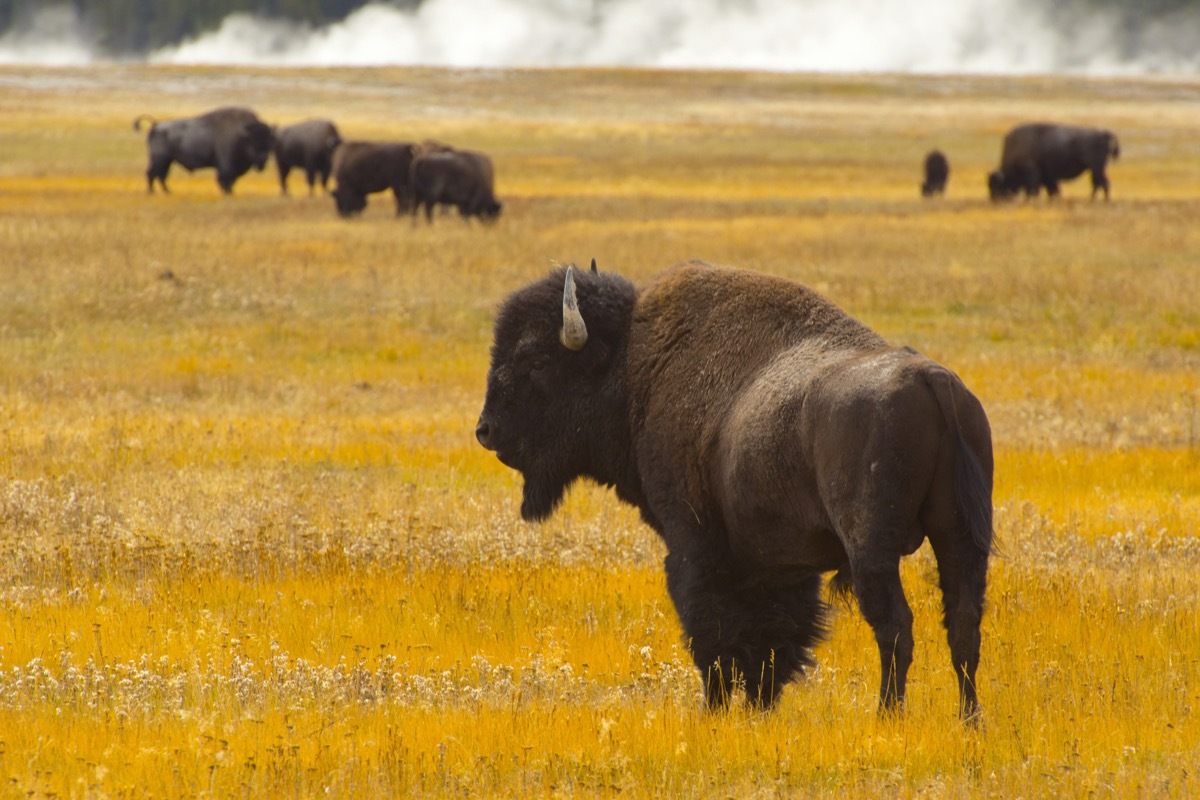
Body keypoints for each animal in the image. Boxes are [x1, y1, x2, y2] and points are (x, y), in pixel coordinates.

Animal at [133, 106, 274, 195]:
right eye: (253, 141)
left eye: (268, 141)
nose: (262, 158)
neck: (242, 135)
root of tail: (156, 125)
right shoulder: (226, 165)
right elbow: (225, 179)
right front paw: (227, 193)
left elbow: (230, 181)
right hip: (160, 160)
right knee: (153, 174)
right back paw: (152, 192)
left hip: (167, 161)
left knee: (161, 175)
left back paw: (167, 192)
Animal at [477, 261, 993, 719]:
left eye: (537, 360)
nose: (486, 431)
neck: (631, 367)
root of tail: (933, 381)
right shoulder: (777, 565)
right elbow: (772, 640)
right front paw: (760, 705)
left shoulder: (694, 547)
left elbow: (712, 635)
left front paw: (716, 709)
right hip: (961, 538)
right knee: (963, 627)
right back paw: (969, 719)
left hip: (872, 549)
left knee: (895, 626)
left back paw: (888, 715)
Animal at [988, 124, 1118, 203]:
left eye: (996, 186)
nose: (994, 200)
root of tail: (1104, 133)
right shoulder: (1048, 176)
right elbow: (1052, 190)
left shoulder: (1033, 173)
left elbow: (1034, 190)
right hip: (1095, 169)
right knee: (1098, 183)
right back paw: (1093, 199)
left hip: (1097, 168)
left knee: (1103, 183)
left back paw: (1103, 200)